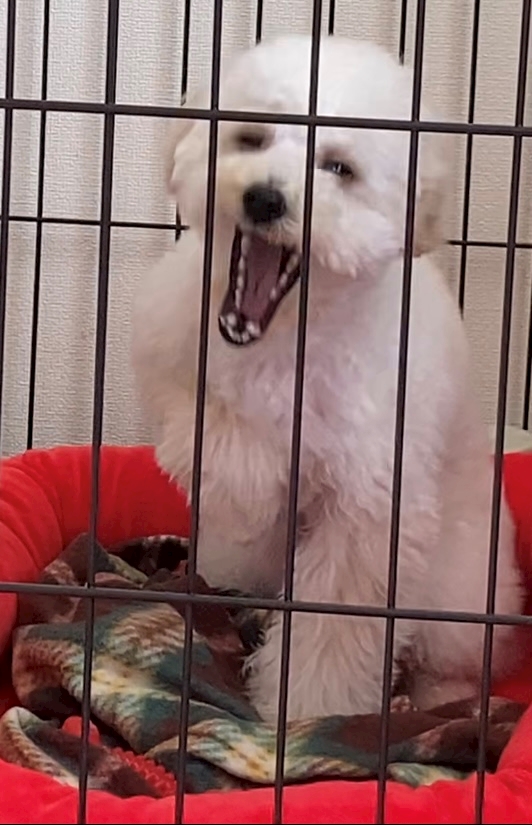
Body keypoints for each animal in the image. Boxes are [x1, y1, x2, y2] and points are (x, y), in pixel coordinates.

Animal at [131, 35, 524, 723]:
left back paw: (439, 702)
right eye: (252, 138)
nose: (265, 198)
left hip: (460, 598)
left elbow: (334, 624)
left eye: (339, 169)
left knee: (450, 662)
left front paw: (308, 709)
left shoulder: (369, 508)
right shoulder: (169, 341)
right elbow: (211, 431)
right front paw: (248, 482)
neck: (288, 325)